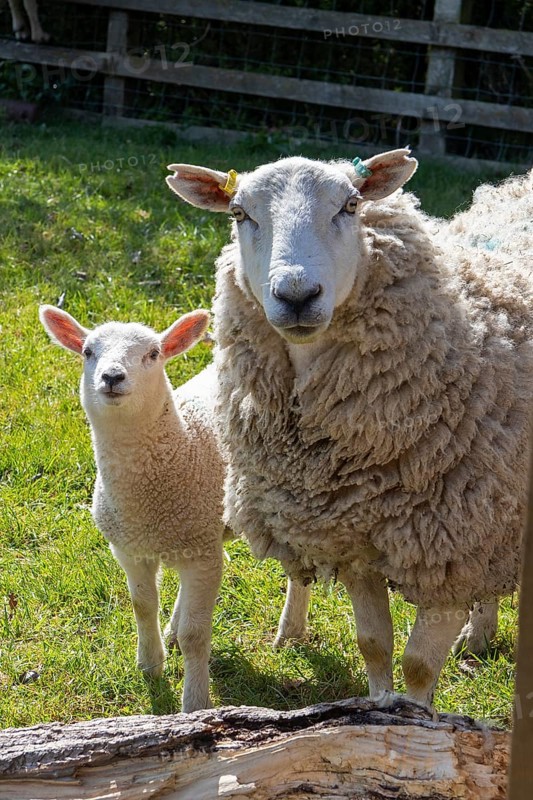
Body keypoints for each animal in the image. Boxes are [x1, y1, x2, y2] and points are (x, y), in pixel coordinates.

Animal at [39, 305, 225, 712]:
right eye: (88, 351)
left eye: (153, 354)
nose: (111, 376)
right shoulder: (128, 547)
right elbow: (142, 605)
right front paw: (151, 663)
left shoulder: (203, 552)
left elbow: (196, 635)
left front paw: (195, 704)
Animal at [166, 151, 533, 708]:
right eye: (239, 214)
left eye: (351, 205)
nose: (296, 295)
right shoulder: (356, 541)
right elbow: (374, 646)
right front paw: (377, 710)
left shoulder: (451, 549)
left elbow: (419, 666)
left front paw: (416, 721)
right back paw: (480, 633)